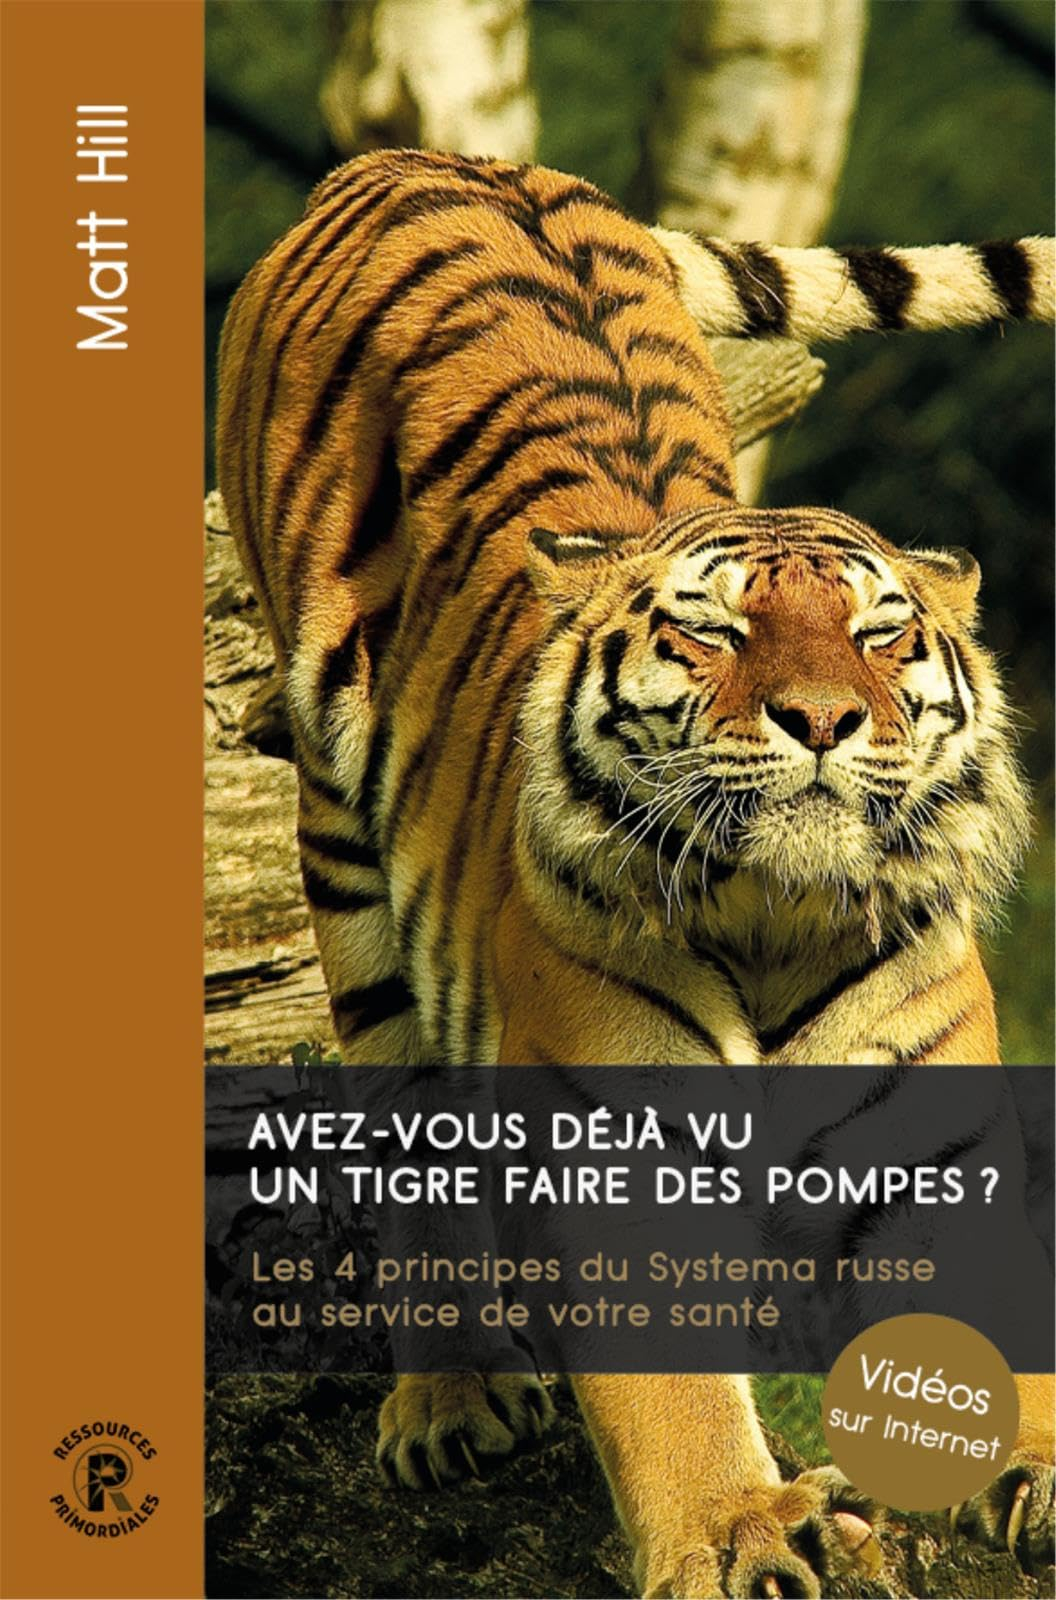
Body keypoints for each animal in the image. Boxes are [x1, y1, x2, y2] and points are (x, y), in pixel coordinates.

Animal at [216, 148, 1054, 1598]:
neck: (781, 920)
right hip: (339, 846)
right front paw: (738, 1528)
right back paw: (453, 1402)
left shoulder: (940, 1150)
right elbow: (669, 1389)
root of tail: (421, 158)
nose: (824, 718)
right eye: (713, 632)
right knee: (406, 1141)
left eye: (884, 636)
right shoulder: (614, 1148)